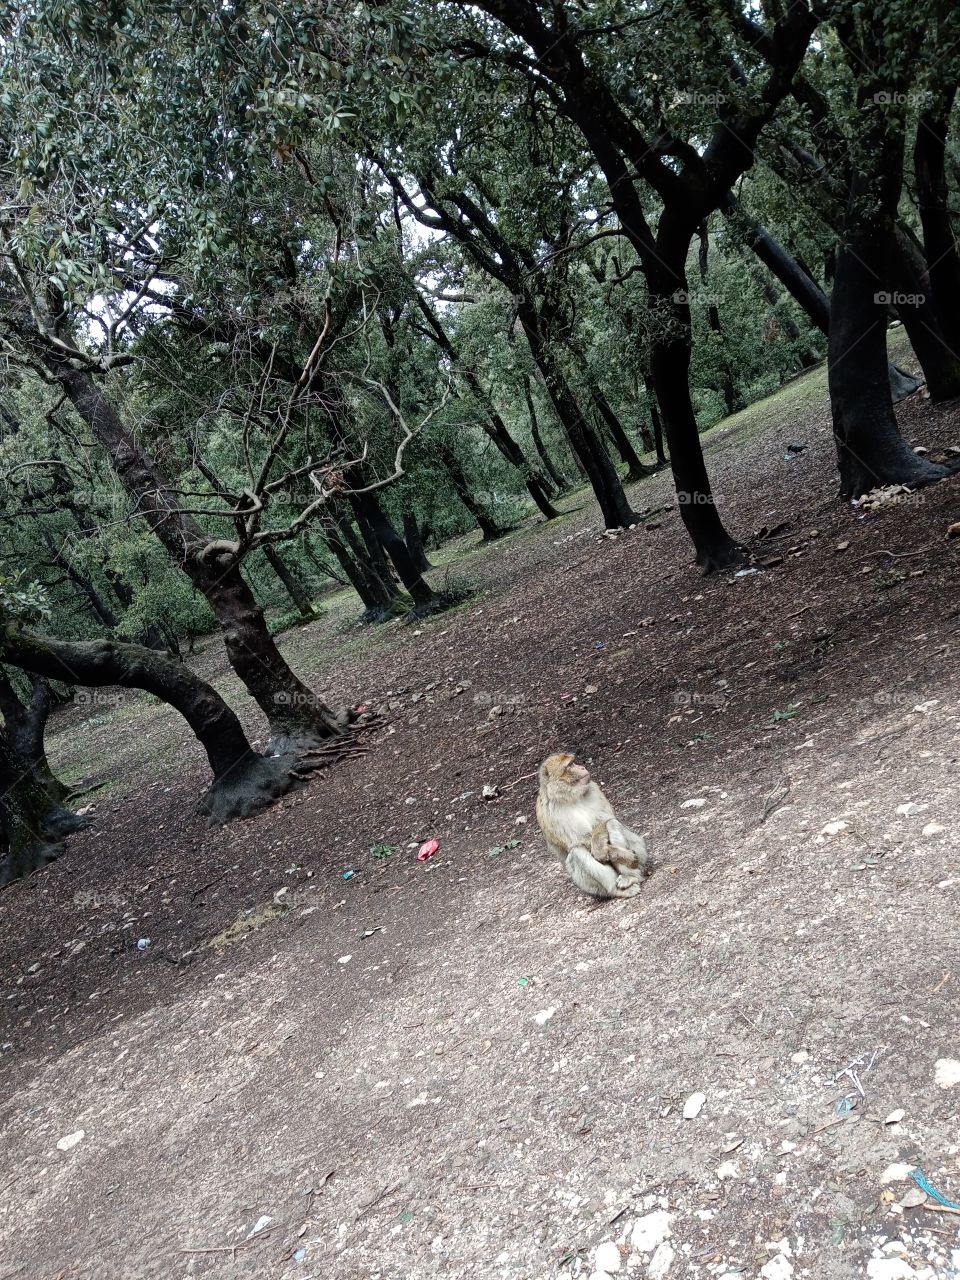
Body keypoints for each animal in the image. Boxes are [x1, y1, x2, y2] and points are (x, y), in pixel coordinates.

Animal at [536, 753, 649, 899]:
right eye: (570, 765)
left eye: (574, 762)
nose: (582, 767)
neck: (570, 797)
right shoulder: (546, 812)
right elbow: (580, 842)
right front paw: (619, 855)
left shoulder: (594, 788)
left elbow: (605, 820)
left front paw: (600, 847)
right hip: (590, 887)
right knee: (577, 851)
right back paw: (616, 890)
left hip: (641, 853)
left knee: (612, 824)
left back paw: (630, 877)